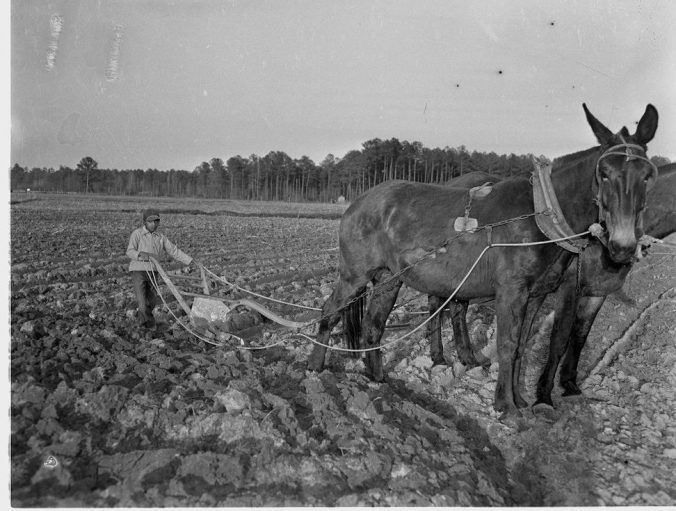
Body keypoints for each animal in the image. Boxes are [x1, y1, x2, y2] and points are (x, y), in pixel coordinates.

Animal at [308, 103, 659, 415]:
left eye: (647, 175)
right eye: (604, 173)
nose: (623, 246)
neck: (539, 216)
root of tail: (358, 201)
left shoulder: (536, 294)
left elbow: (521, 345)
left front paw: (521, 399)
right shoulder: (511, 290)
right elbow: (506, 343)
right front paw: (505, 405)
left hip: (388, 279)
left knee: (373, 325)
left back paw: (377, 380)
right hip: (354, 274)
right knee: (330, 311)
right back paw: (315, 369)